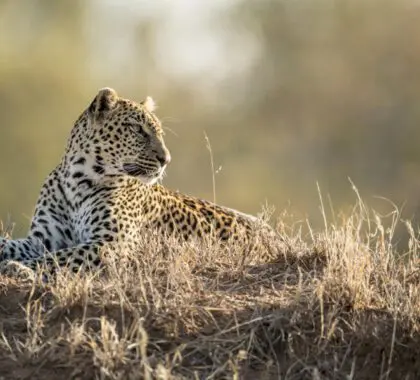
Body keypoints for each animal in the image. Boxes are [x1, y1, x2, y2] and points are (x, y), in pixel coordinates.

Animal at [0, 87, 286, 274]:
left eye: (159, 133)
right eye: (138, 130)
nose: (166, 159)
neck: (77, 180)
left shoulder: (112, 244)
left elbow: (59, 258)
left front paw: (17, 268)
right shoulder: (41, 240)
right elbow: (12, 244)